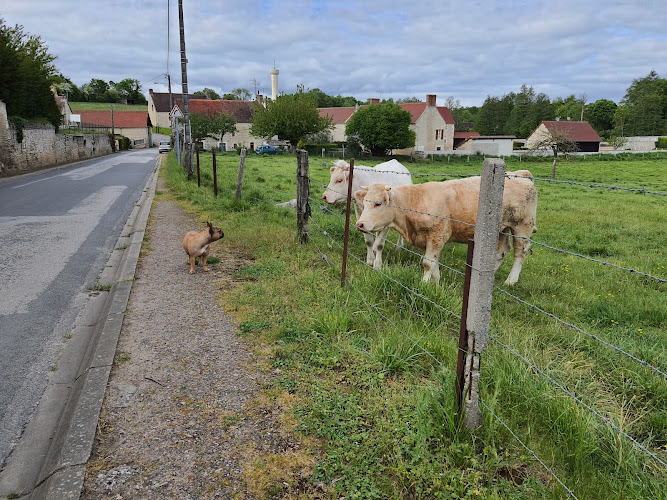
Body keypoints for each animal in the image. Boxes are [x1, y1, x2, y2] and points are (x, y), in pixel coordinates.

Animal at [354, 171, 536, 284]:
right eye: (365, 201)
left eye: (378, 203)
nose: (359, 224)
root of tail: (522, 175)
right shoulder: (434, 240)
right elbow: (434, 262)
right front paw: (436, 281)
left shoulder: (437, 235)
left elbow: (428, 262)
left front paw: (424, 283)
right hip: (500, 230)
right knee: (502, 252)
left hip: (522, 227)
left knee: (520, 253)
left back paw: (511, 280)